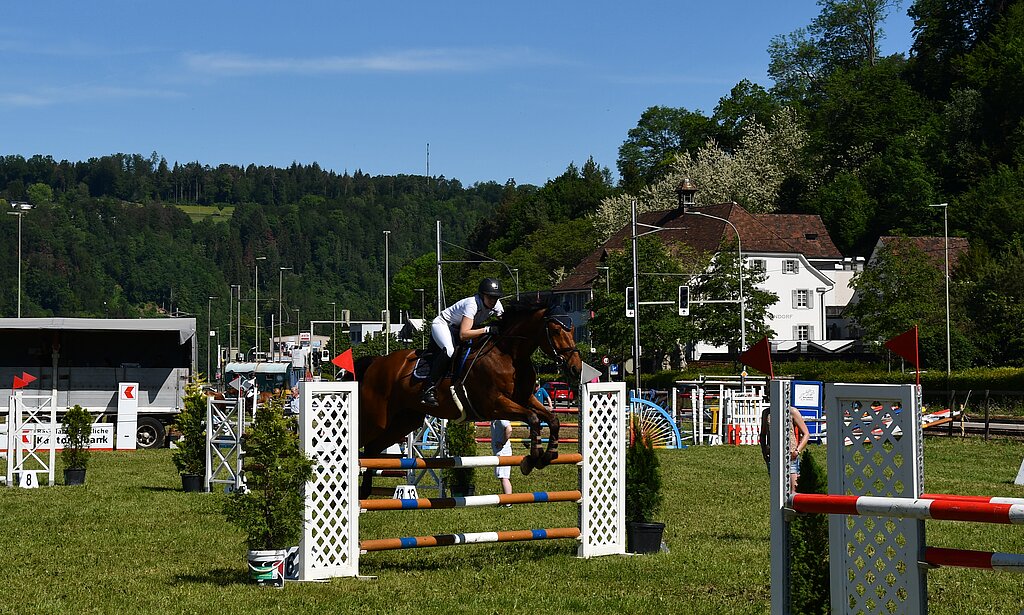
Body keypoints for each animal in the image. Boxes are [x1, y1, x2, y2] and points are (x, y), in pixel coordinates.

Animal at [354, 298, 581, 497]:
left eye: (572, 330)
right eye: (556, 330)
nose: (576, 368)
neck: (510, 355)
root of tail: (376, 362)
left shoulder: (526, 399)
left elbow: (552, 419)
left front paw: (548, 456)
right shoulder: (495, 405)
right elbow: (533, 419)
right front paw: (531, 460)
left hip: (404, 422)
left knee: (373, 448)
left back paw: (364, 490)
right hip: (376, 418)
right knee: (363, 444)